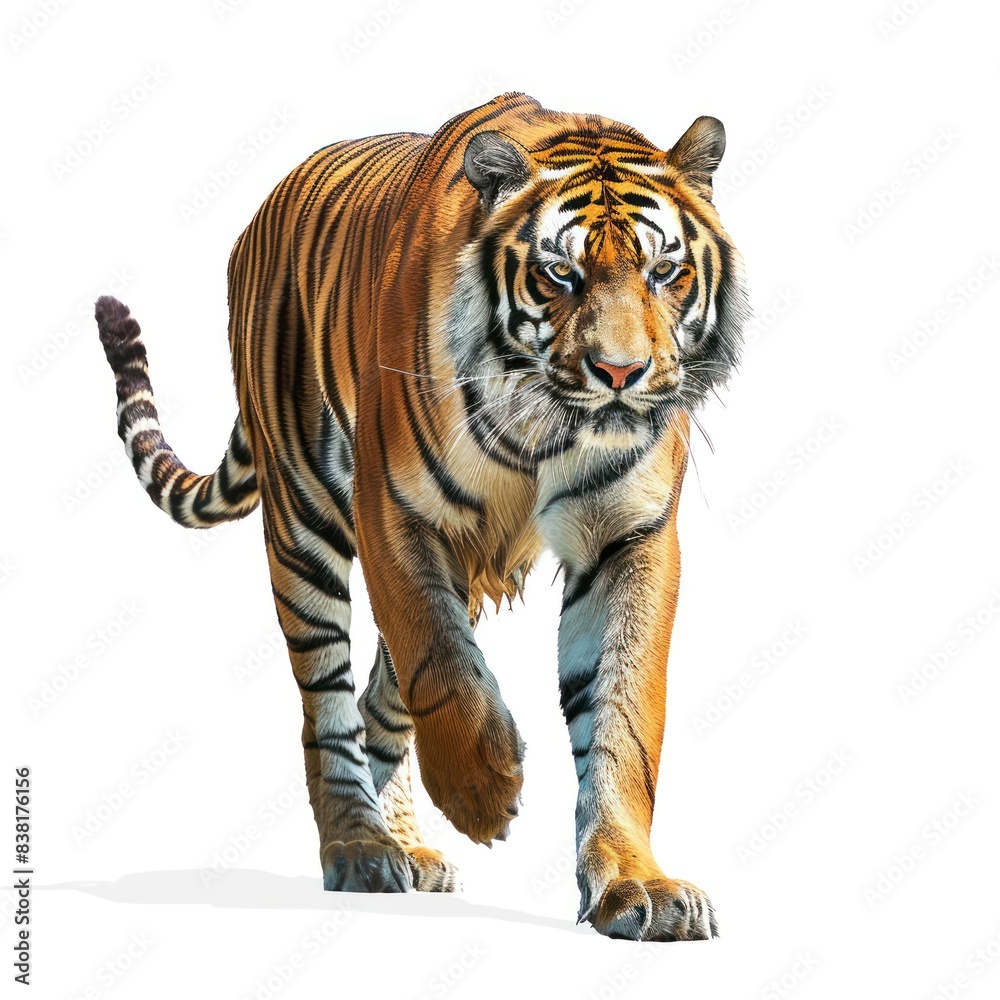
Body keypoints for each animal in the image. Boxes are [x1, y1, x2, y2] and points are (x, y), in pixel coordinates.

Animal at [94, 91, 748, 941]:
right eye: (560, 274)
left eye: (664, 272)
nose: (620, 372)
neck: (548, 424)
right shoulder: (396, 513)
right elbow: (436, 659)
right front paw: (482, 792)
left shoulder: (629, 537)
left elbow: (623, 714)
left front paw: (638, 885)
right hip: (304, 523)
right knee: (330, 704)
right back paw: (360, 846)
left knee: (382, 698)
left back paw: (405, 845)